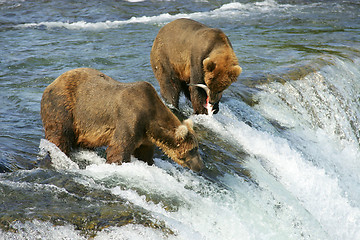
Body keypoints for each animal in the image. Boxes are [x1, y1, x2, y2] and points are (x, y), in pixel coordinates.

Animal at [40, 68, 204, 172]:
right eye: (193, 149)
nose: (199, 167)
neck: (151, 120)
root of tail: (51, 83)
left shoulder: (145, 136)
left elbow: (144, 153)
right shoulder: (130, 118)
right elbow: (119, 148)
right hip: (64, 106)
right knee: (60, 133)